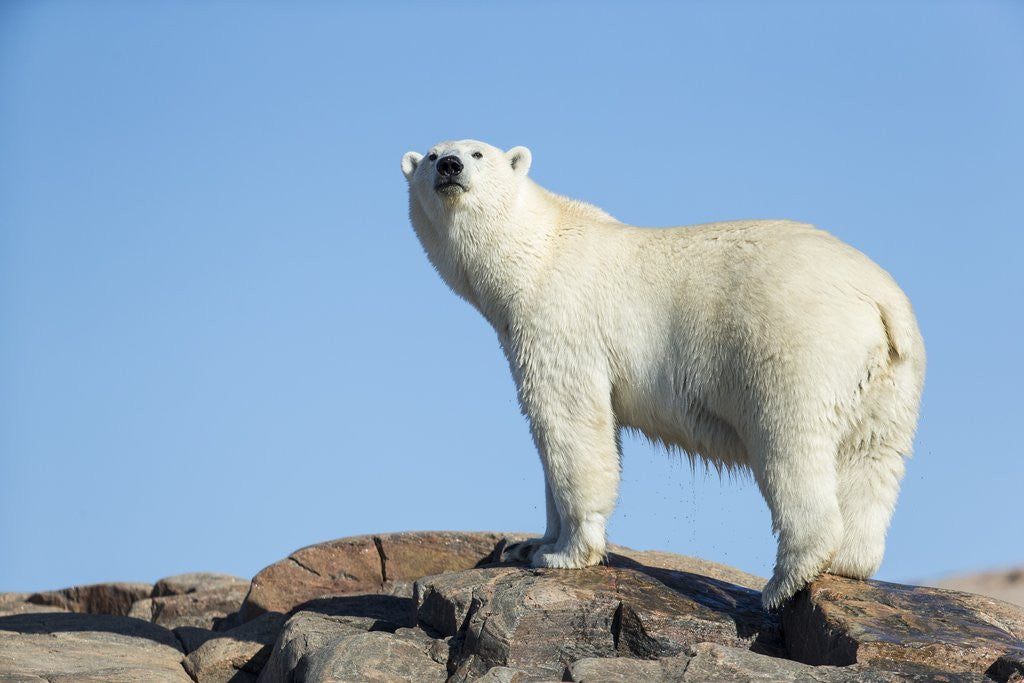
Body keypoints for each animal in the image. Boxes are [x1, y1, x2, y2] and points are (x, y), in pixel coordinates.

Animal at [401, 139, 925, 609]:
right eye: (432, 155)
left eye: (476, 153)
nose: (449, 167)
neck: (534, 251)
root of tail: (881, 300)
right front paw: (532, 544)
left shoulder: (560, 321)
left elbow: (570, 424)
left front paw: (566, 555)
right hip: (889, 377)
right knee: (872, 457)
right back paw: (850, 563)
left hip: (796, 344)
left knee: (790, 444)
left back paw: (784, 582)